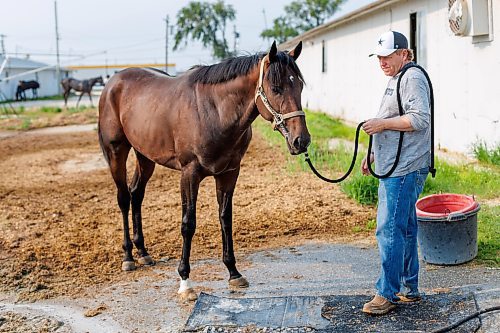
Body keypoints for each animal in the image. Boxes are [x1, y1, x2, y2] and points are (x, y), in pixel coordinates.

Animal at [96, 41, 308, 300]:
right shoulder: (190, 174)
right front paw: (185, 282)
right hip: (116, 152)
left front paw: (234, 272)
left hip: (145, 155)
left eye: (299, 85)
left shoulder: (229, 173)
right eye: (276, 88)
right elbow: (188, 224)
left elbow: (225, 219)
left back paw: (143, 253)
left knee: (136, 194)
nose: (301, 141)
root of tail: (112, 82)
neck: (214, 111)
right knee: (124, 198)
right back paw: (128, 257)